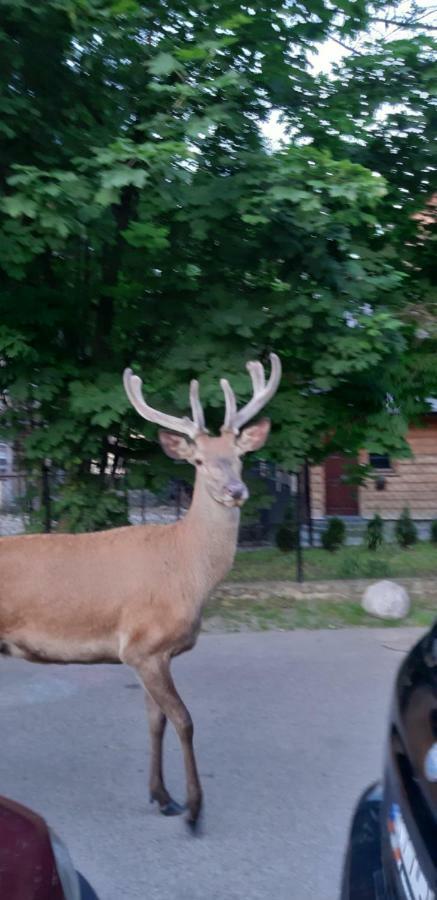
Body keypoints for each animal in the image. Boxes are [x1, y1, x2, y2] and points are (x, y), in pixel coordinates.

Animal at [0, 352, 280, 828]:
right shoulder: (143, 644)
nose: (235, 490)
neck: (186, 572)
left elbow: (156, 721)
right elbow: (184, 720)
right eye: (199, 460)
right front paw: (194, 808)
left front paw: (163, 797)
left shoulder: (154, 654)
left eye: (240, 455)